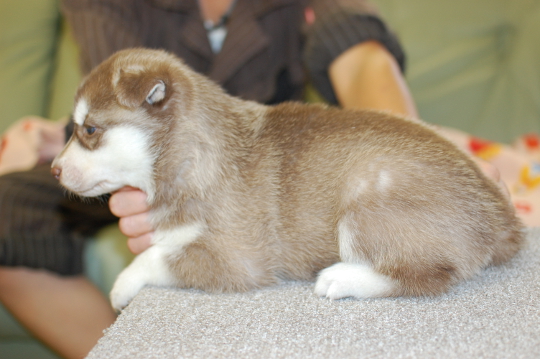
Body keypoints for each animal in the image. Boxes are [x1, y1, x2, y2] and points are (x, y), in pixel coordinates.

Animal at [52, 49, 520, 310]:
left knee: (427, 275)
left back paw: (343, 278)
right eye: (72, 128)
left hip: (367, 202)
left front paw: (121, 287)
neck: (192, 155)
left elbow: (154, 257)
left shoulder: (236, 258)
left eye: (89, 130)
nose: (54, 168)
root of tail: (502, 219)